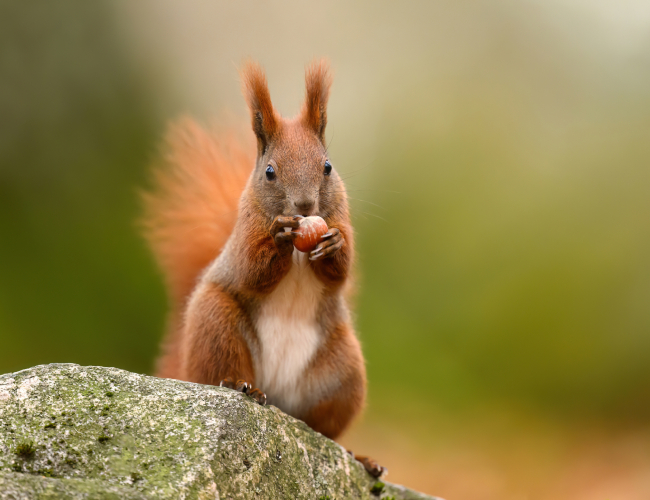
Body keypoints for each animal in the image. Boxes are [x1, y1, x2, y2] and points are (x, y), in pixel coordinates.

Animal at [143, 60, 384, 477]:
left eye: (327, 166)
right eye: (270, 172)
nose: (304, 206)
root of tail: (279, 398)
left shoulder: (342, 217)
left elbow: (342, 271)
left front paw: (334, 245)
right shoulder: (242, 240)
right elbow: (252, 270)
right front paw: (280, 237)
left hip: (342, 374)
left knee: (324, 430)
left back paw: (359, 458)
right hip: (216, 326)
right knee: (222, 370)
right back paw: (242, 386)